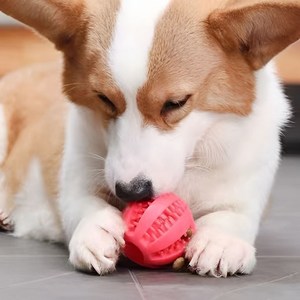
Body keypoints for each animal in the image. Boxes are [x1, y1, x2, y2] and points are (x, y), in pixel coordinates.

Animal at [0, 0, 300, 276]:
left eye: (175, 103)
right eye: (104, 99)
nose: (131, 191)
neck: (192, 162)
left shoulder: (246, 192)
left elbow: (233, 215)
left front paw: (220, 242)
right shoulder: (76, 180)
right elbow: (83, 204)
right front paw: (96, 230)